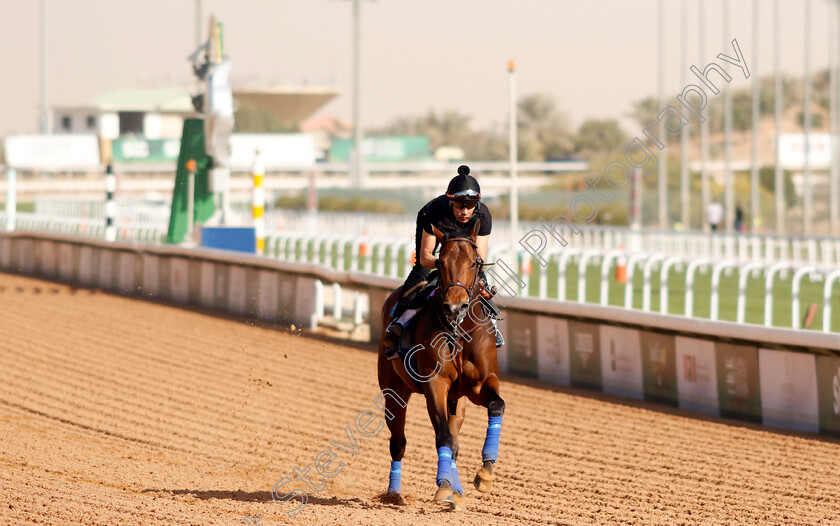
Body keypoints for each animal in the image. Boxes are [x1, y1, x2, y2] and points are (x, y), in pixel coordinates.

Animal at [376, 221, 506, 512]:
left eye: (473, 263)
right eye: (441, 261)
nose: (455, 307)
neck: (459, 333)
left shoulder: (480, 384)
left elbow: (496, 405)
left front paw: (485, 473)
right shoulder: (435, 384)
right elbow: (442, 437)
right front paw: (444, 487)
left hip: (458, 403)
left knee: (455, 441)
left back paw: (457, 491)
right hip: (394, 392)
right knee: (398, 443)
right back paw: (394, 494)